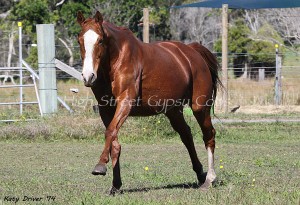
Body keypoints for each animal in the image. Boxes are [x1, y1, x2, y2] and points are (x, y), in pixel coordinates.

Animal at [76, 10, 221, 194]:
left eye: (100, 40)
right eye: (79, 40)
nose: (88, 76)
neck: (117, 59)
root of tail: (192, 52)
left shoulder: (125, 102)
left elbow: (110, 132)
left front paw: (100, 165)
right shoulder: (106, 109)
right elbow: (114, 140)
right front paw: (116, 185)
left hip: (199, 107)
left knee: (209, 135)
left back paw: (209, 178)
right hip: (173, 111)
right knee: (187, 135)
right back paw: (200, 174)